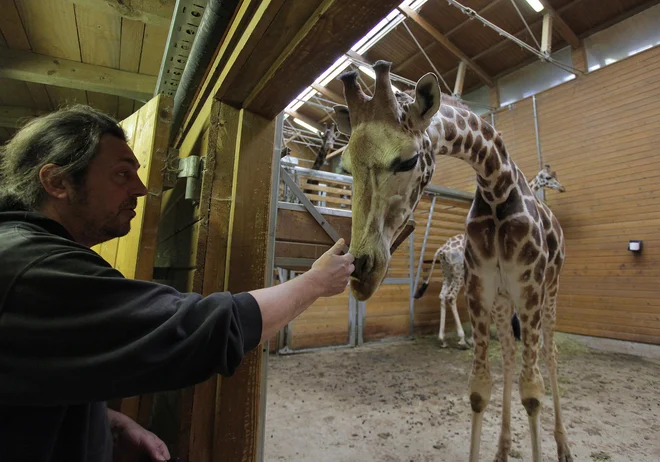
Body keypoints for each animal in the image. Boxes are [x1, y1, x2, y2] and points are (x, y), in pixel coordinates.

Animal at [416, 164, 564, 348]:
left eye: (555, 176)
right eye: (548, 177)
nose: (562, 188)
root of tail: (442, 250)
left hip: (447, 273)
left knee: (443, 296)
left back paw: (443, 339)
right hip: (458, 273)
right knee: (450, 297)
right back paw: (462, 339)